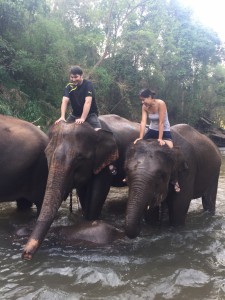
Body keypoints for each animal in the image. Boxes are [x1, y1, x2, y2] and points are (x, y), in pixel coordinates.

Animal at [22, 113, 140, 258]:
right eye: (46, 154)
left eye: (79, 158)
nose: (26, 255)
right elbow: (83, 194)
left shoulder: (105, 163)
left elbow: (97, 195)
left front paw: (91, 220)